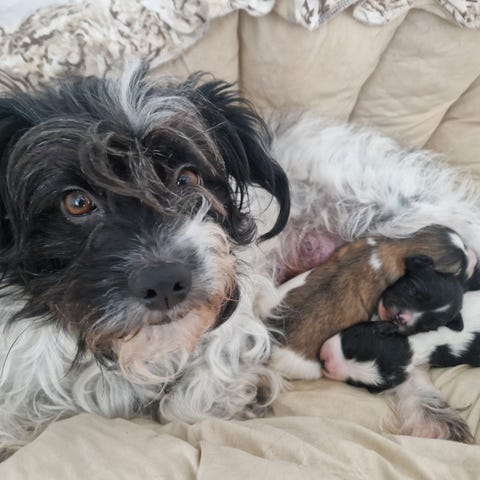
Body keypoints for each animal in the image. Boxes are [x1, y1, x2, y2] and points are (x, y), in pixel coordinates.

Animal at [2, 65, 480, 458]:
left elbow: (187, 402)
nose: (167, 282)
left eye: (188, 178)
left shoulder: (238, 314)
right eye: (76, 202)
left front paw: (242, 392)